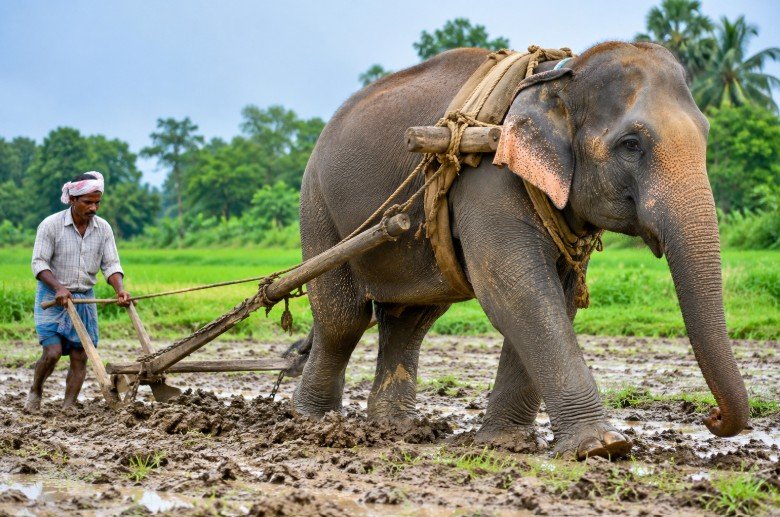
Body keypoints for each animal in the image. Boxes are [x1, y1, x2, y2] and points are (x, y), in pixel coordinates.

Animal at [290, 41, 749, 459]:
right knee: (344, 319)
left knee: (409, 320)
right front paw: (602, 447)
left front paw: (502, 442)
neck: (559, 78)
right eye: (632, 145)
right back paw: (311, 421)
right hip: (317, 206)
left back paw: (397, 428)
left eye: (707, 136)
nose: (712, 418)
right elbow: (518, 290)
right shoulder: (489, 176)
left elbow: (555, 296)